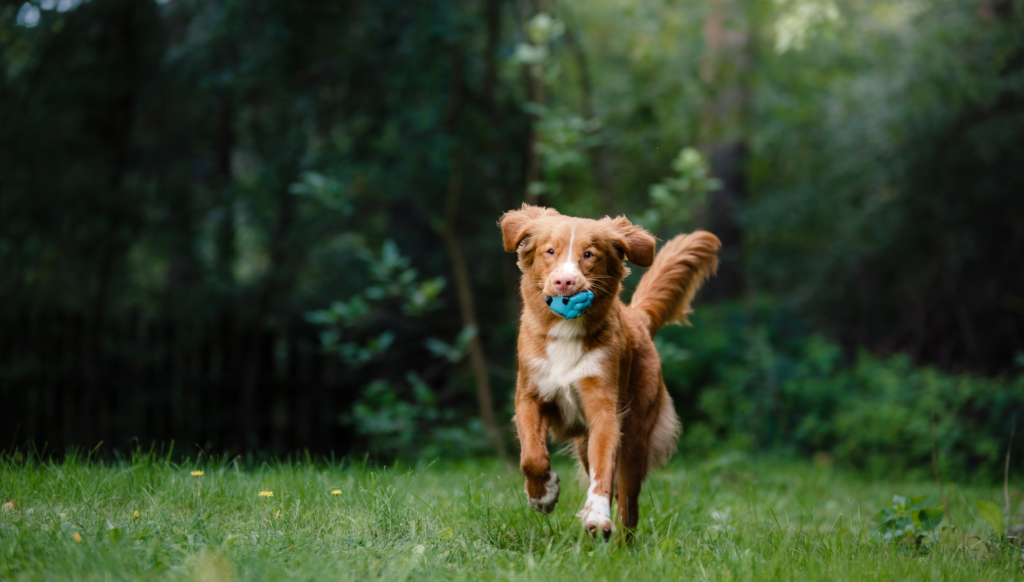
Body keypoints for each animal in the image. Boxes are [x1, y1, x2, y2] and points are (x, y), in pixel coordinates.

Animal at [497, 205, 720, 541]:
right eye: (550, 251)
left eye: (589, 254)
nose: (564, 282)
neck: (567, 332)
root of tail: (637, 317)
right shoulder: (529, 396)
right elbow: (532, 457)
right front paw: (543, 494)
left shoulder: (605, 408)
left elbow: (603, 471)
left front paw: (597, 517)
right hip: (583, 443)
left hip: (636, 435)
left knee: (628, 501)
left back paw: (622, 544)